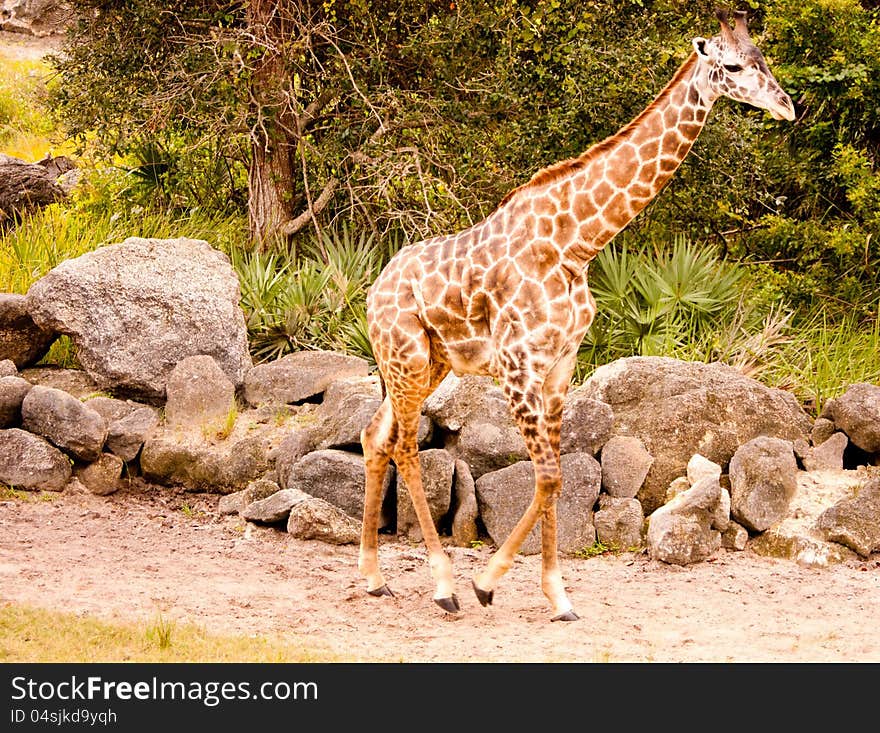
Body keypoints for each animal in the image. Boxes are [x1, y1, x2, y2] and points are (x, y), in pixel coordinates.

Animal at [354, 8, 796, 620]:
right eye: (731, 66)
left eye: (764, 60)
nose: (788, 106)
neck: (578, 242)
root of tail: (373, 291)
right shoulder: (518, 363)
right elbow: (545, 475)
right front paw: (486, 583)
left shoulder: (561, 364)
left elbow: (557, 479)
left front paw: (556, 594)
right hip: (407, 359)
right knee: (403, 447)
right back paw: (443, 586)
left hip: (426, 363)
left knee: (376, 437)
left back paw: (375, 578)